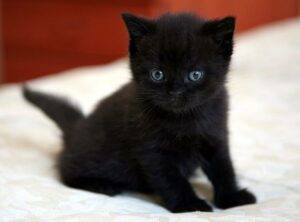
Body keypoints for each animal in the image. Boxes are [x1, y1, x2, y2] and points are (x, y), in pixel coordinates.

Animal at [23, 12, 255, 213]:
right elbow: (171, 178)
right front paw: (189, 204)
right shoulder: (151, 149)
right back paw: (100, 185)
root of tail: (76, 128)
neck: (184, 119)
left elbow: (223, 168)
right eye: (157, 74)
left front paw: (232, 198)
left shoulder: (215, 135)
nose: (175, 92)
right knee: (66, 170)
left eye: (195, 75)